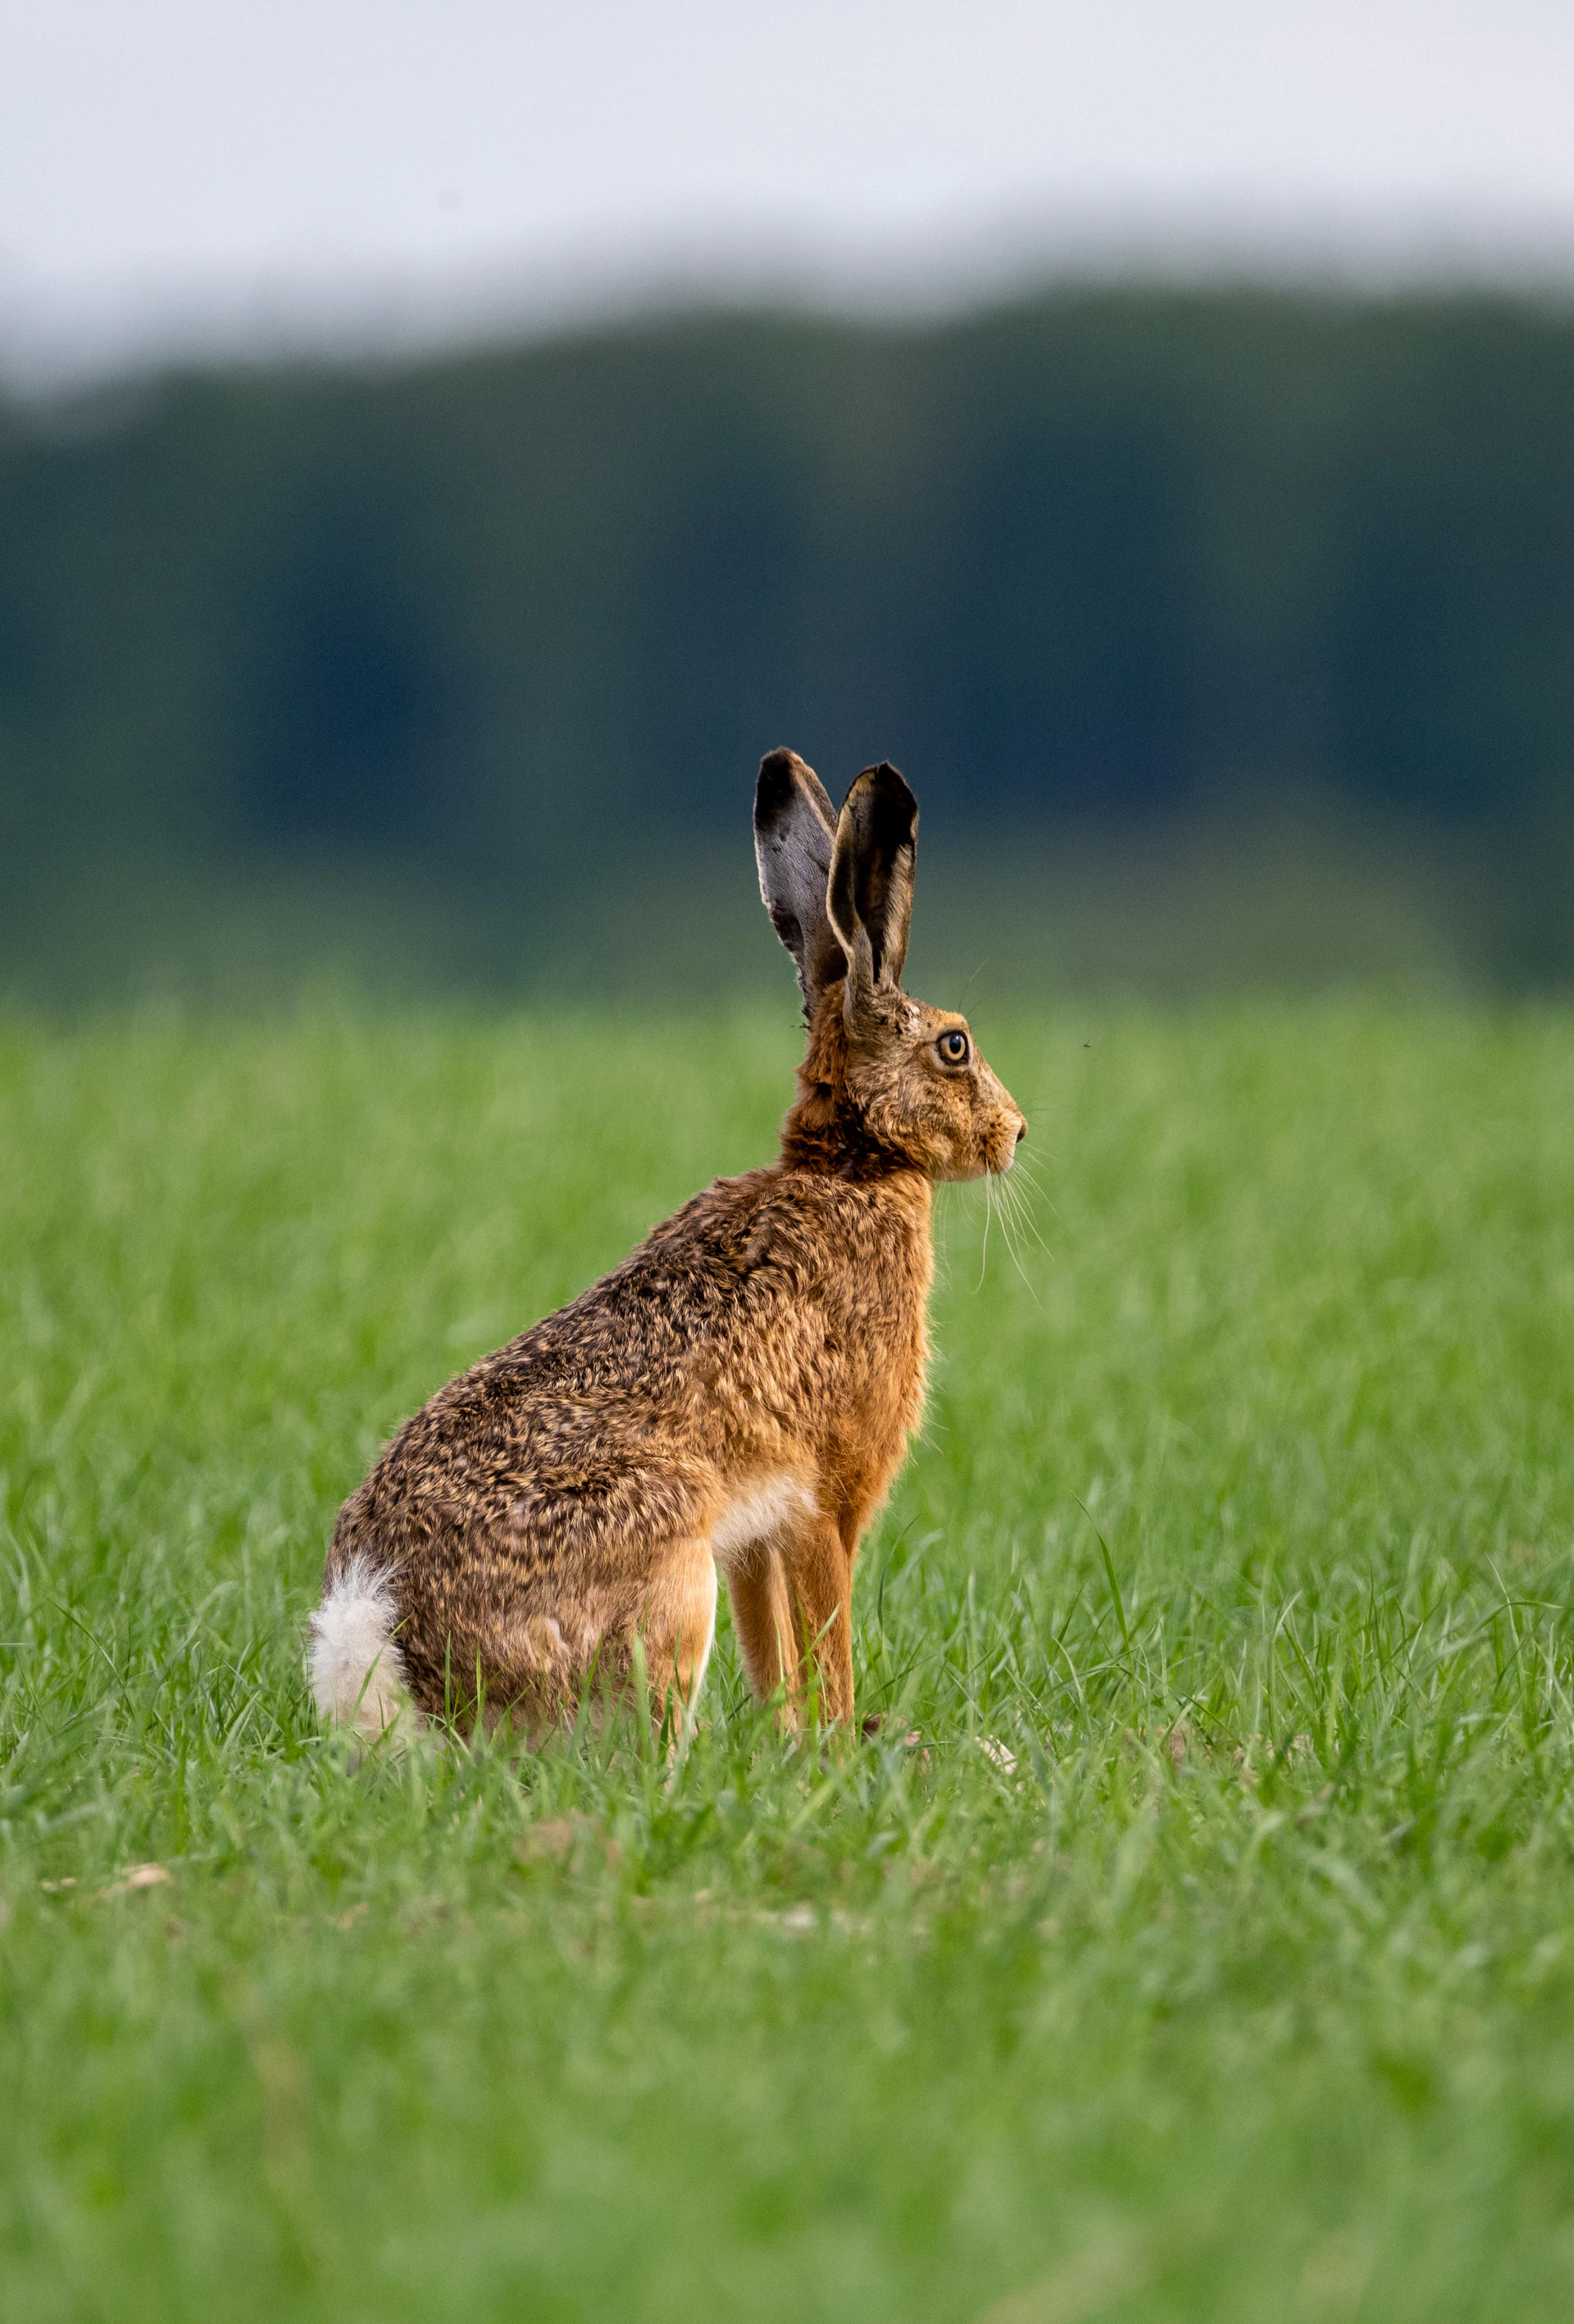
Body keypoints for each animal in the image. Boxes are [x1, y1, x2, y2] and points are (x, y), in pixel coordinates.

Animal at [309, 751, 1026, 1744]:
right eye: (955, 1046)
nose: (1016, 1132)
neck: (851, 1165)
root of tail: (388, 1637)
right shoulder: (826, 1501)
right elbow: (828, 1644)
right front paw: (841, 1749)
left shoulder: (754, 1540)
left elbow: (774, 1663)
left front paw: (786, 1750)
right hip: (672, 1574)